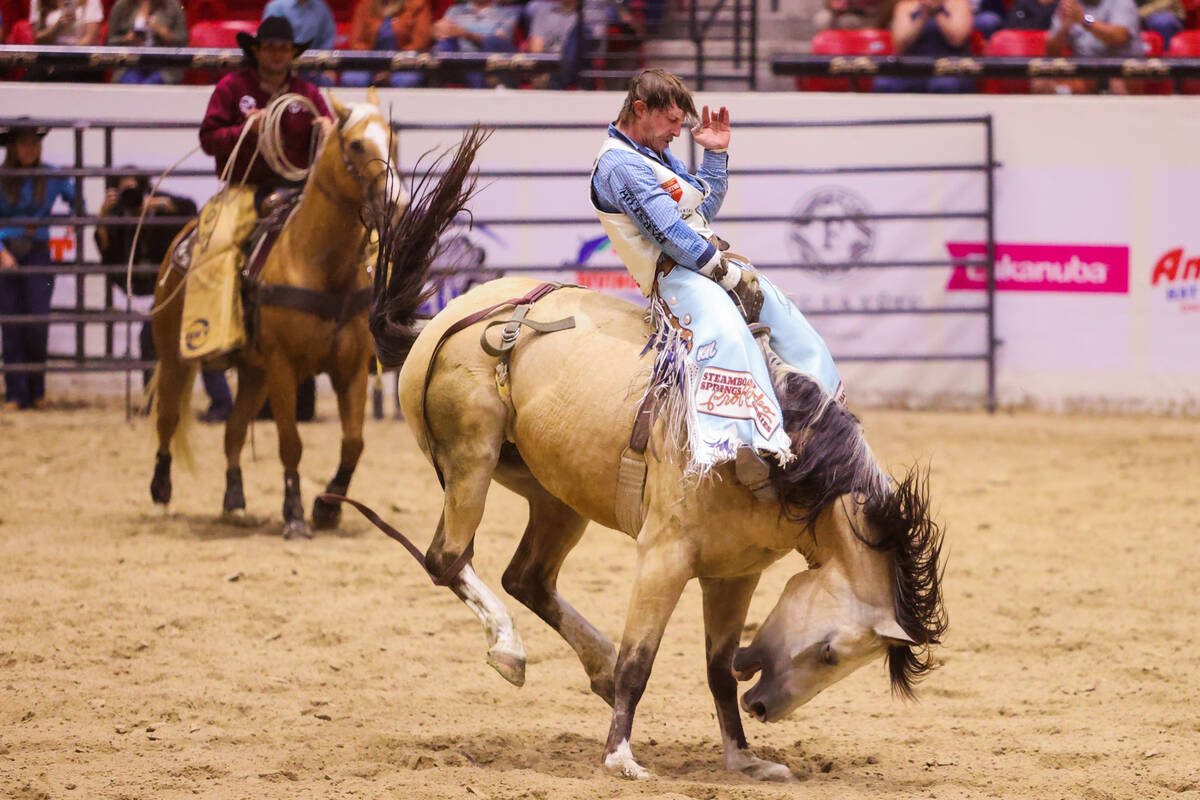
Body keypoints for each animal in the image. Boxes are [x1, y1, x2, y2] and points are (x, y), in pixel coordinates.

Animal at [148, 89, 403, 537]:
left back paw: (234, 502)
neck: (320, 263)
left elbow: (353, 443)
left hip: (255, 373)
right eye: (356, 144)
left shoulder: (351, 367)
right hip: (175, 356)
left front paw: (327, 507)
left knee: (233, 431)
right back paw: (161, 496)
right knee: (168, 419)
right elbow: (291, 444)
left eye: (392, 139)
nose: (397, 200)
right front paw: (295, 513)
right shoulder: (284, 366)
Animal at [360, 133, 940, 782]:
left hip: (555, 494)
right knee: (448, 557)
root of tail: (441, 319)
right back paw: (510, 649)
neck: (788, 463)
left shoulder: (735, 573)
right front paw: (621, 758)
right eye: (830, 651)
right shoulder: (664, 556)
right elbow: (643, 661)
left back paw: (596, 664)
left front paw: (744, 757)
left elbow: (715, 669)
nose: (765, 707)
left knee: (527, 576)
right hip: (471, 458)